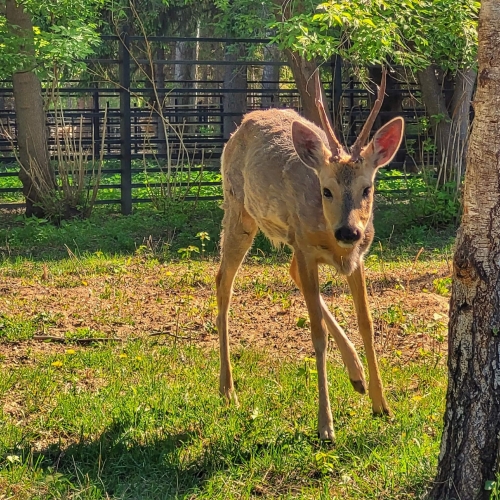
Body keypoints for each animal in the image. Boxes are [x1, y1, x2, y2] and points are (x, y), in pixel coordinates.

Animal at [217, 69, 404, 438]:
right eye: (326, 190)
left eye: (367, 188)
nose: (349, 231)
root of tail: (243, 124)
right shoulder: (306, 246)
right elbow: (317, 335)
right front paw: (325, 425)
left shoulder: (357, 257)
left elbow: (367, 324)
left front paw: (382, 404)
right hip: (239, 210)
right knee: (223, 282)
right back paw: (228, 389)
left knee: (287, 272)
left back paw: (357, 375)